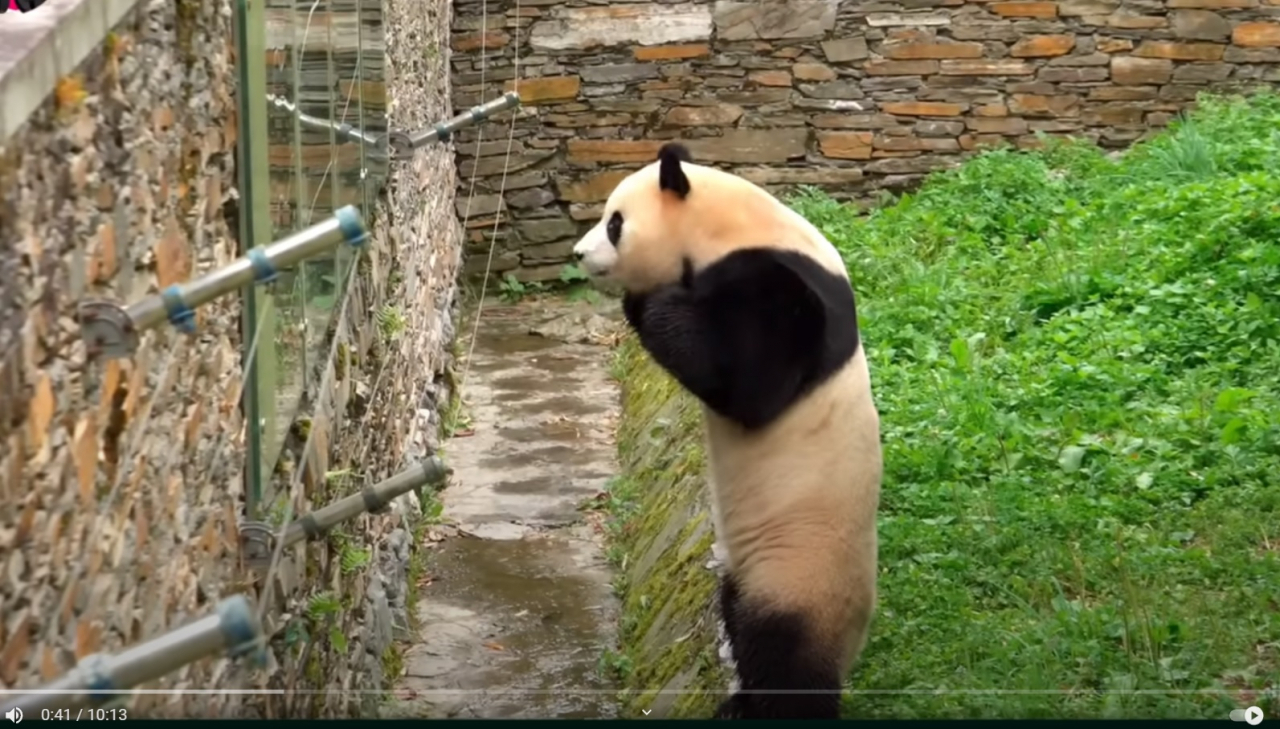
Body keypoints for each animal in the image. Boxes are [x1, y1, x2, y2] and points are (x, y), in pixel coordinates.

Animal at [576, 141, 885, 716]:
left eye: (614, 223)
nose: (579, 254)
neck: (731, 227)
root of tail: (853, 641)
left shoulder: (777, 287)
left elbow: (749, 384)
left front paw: (648, 301)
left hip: (798, 567)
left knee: (784, 651)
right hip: (749, 570)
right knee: (736, 617)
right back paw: (739, 700)